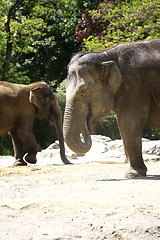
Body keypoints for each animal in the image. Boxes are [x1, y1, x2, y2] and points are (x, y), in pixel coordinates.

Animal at [63, 39, 160, 178]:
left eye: (85, 92)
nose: (87, 124)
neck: (107, 54)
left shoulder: (135, 85)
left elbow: (129, 122)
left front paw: (132, 174)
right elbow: (122, 125)